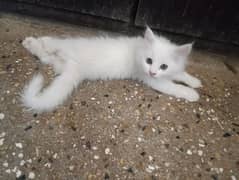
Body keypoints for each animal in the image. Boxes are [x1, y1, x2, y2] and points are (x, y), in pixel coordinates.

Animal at [22, 27, 202, 112]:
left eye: (164, 66)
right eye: (149, 61)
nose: (152, 72)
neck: (139, 49)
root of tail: (74, 64)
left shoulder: (166, 74)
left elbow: (182, 74)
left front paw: (195, 82)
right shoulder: (153, 81)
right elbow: (175, 87)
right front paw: (192, 94)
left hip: (60, 63)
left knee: (45, 56)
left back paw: (32, 45)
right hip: (65, 46)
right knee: (51, 43)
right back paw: (33, 41)